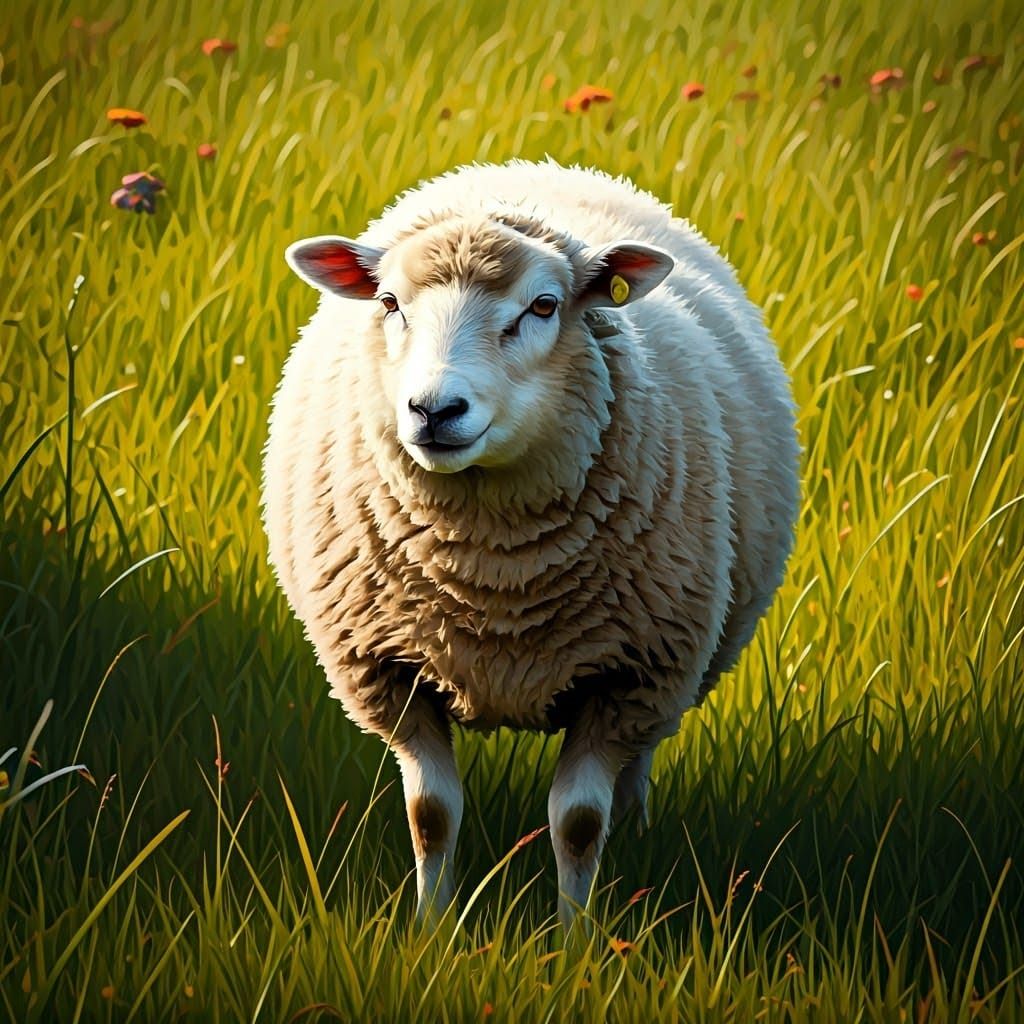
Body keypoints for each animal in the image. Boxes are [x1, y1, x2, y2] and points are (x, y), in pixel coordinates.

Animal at [263, 159, 800, 928]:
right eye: (390, 302)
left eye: (543, 306)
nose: (434, 409)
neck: (492, 574)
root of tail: (528, 168)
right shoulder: (391, 670)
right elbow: (431, 815)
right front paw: (431, 929)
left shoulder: (627, 676)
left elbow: (577, 823)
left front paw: (575, 936)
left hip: (671, 672)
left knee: (638, 766)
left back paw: (637, 831)